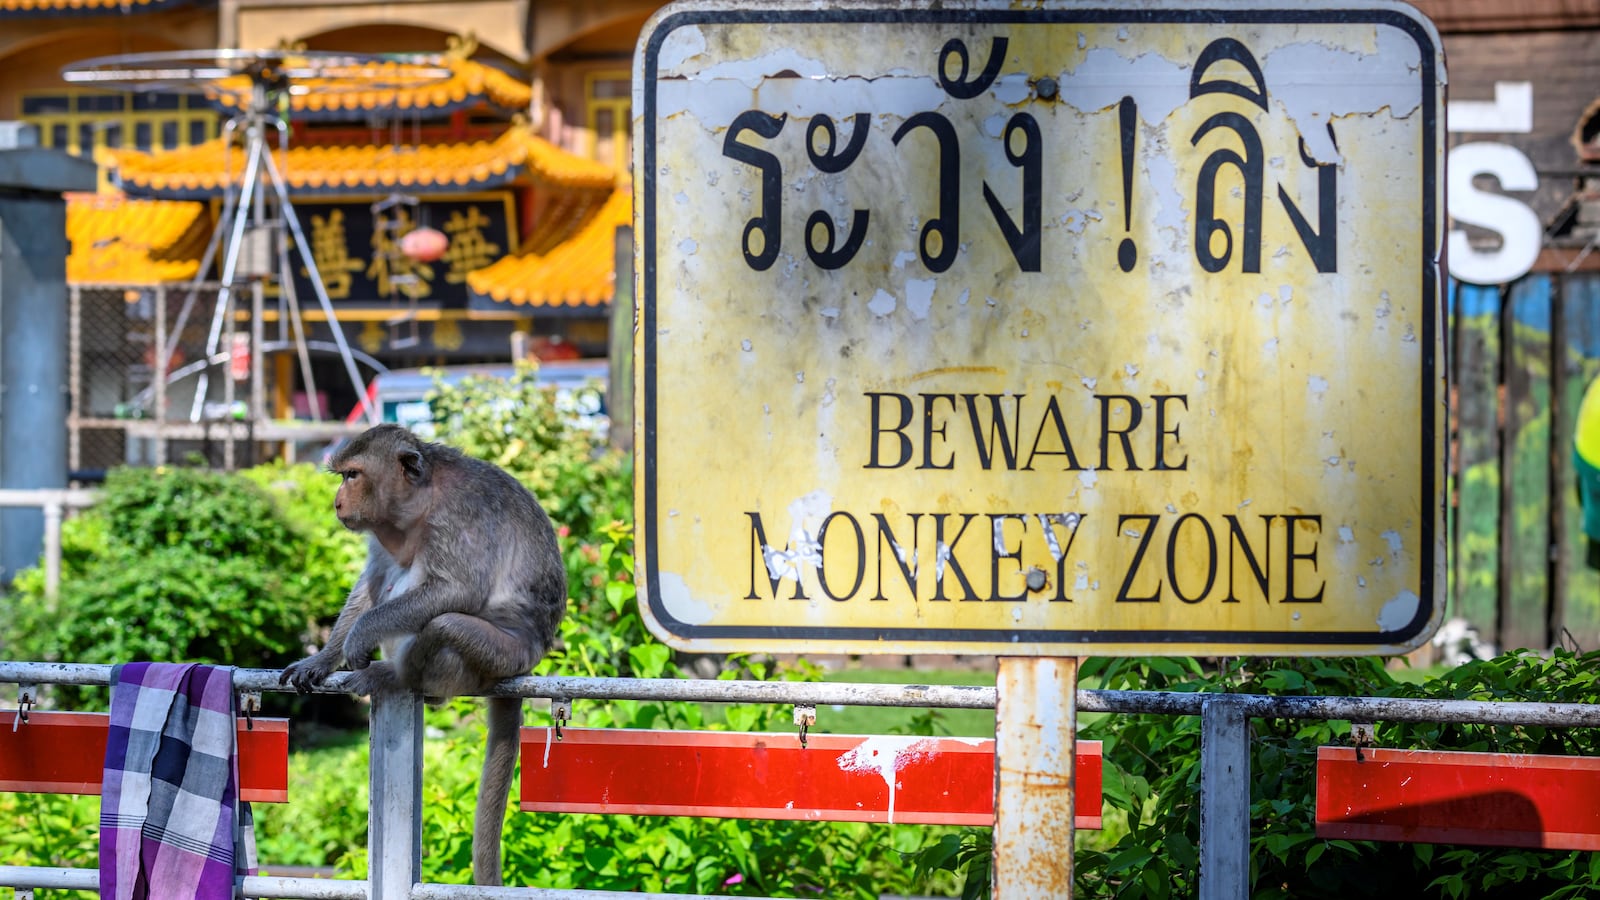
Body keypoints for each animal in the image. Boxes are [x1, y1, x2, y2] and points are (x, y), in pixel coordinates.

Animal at [281, 423, 566, 886]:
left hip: (502, 656)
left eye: (352, 475)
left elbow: (458, 591)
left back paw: (397, 678)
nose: (337, 502)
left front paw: (360, 636)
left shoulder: (459, 516)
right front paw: (321, 659)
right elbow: (373, 578)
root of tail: (531, 660)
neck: (419, 503)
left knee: (444, 625)